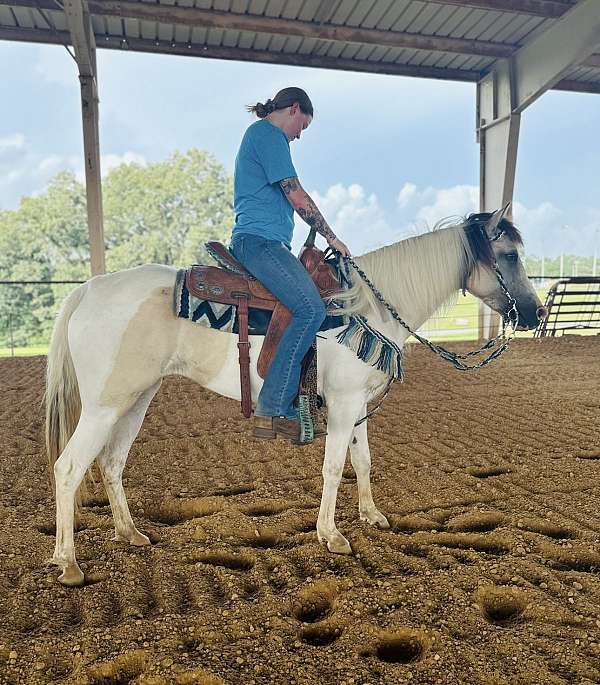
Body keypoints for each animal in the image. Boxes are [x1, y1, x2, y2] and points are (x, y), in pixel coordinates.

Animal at [45, 208, 544, 584]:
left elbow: (363, 461)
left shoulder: (360, 406)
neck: (367, 307)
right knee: (69, 468)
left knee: (111, 463)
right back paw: (68, 562)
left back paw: (129, 533)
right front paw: (331, 535)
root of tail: (90, 289)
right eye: (508, 255)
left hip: (136, 398)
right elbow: (334, 467)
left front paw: (372, 516)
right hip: (104, 405)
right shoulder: (343, 404)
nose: (536, 313)